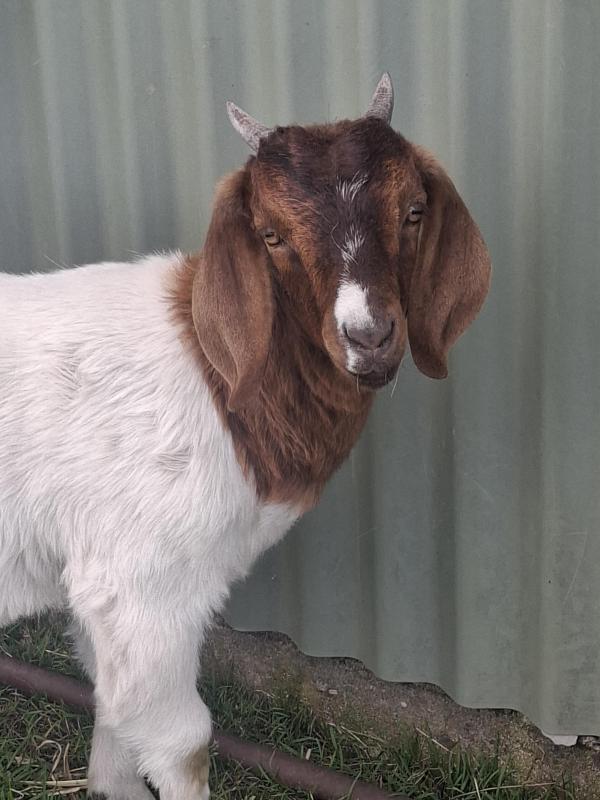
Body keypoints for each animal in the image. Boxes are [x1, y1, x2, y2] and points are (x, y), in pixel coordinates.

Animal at [0, 74, 490, 799]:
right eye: (270, 233)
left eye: (413, 210)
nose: (369, 337)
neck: (218, 376)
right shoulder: (139, 581)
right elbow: (183, 743)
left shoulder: (101, 595)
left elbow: (113, 705)